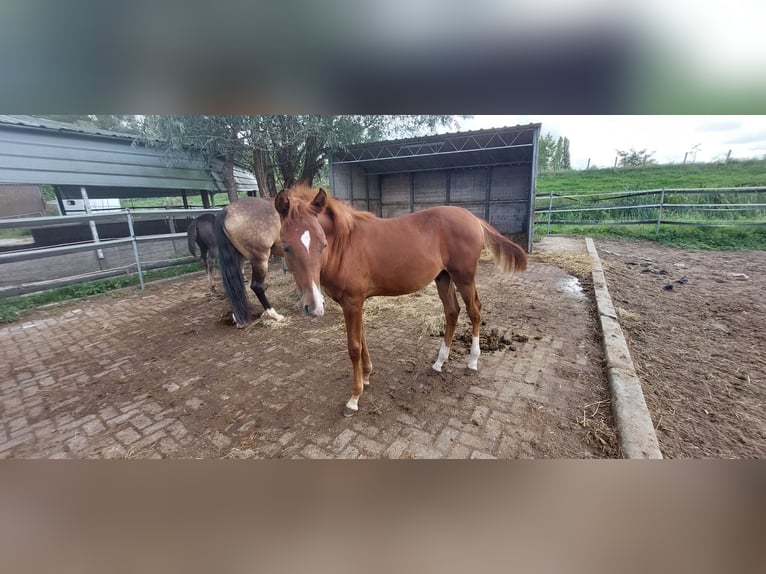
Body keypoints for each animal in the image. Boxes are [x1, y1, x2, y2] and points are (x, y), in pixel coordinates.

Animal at [274, 187, 528, 416]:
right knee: (452, 312)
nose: (314, 307)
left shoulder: (352, 302)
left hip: (464, 277)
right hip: (443, 277)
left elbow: (354, 347)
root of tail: (473, 217)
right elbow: (363, 338)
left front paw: (354, 398)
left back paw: (472, 362)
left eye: (323, 244)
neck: (344, 244)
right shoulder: (356, 303)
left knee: (474, 311)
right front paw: (367, 376)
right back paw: (440, 362)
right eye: (286, 247)